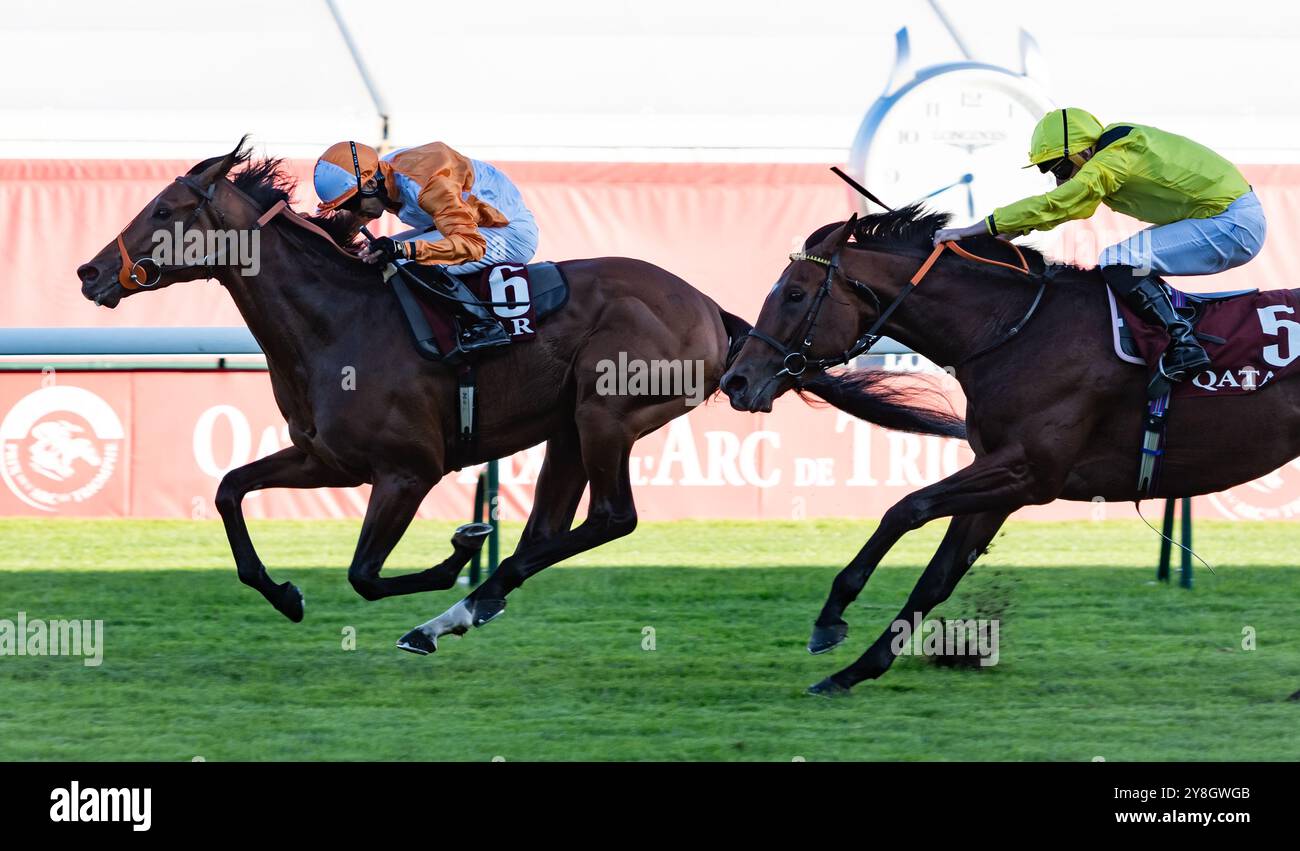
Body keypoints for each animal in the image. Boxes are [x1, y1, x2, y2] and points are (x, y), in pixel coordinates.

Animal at [71, 142, 967, 654]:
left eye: (165, 209)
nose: (88, 271)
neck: (335, 319)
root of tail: (713, 310)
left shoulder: (408, 468)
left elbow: (364, 572)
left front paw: (457, 549)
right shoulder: (326, 455)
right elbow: (229, 489)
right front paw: (285, 593)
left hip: (607, 412)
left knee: (611, 518)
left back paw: (461, 600)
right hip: (569, 425)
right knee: (550, 529)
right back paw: (464, 609)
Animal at [722, 207, 1300, 701]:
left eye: (795, 294)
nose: (736, 381)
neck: (1014, 329)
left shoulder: (1029, 472)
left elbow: (904, 509)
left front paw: (830, 618)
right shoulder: (1000, 477)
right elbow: (936, 578)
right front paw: (852, 671)